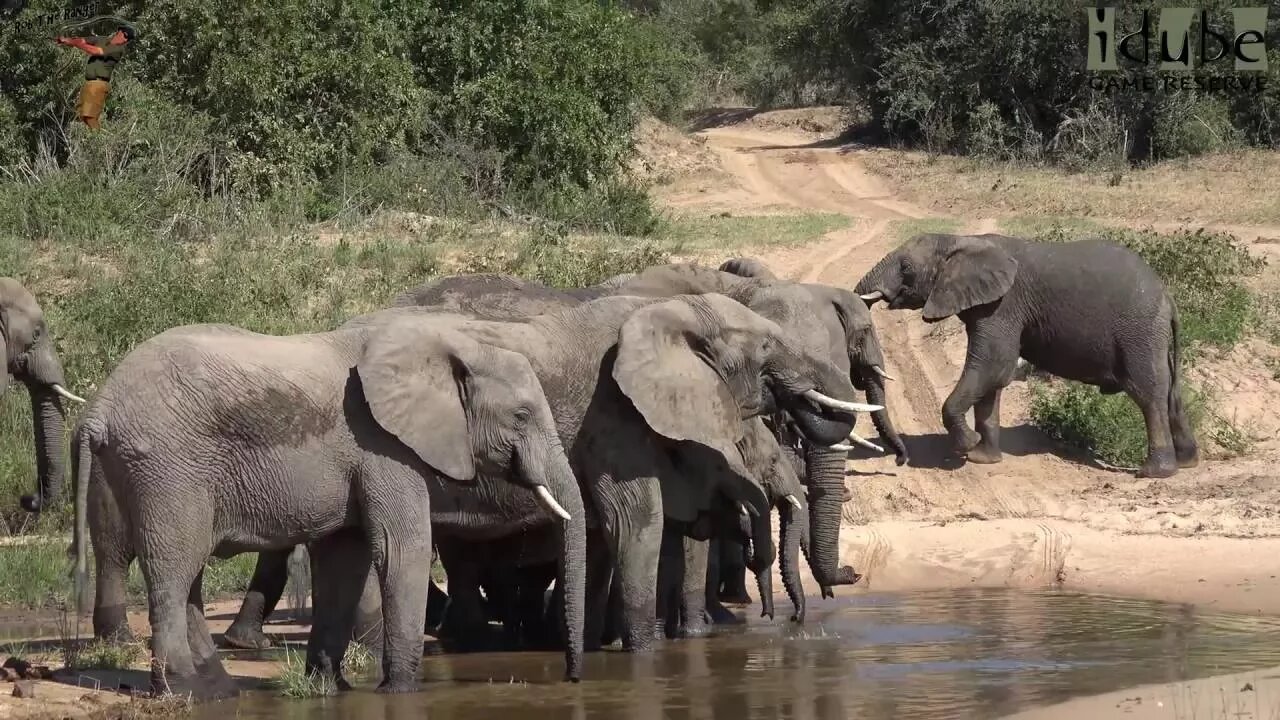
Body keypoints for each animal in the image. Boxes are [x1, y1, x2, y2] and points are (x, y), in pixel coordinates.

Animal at [71, 316, 586, 696]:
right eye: (522, 415)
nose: (571, 677)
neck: (452, 346)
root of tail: (99, 409)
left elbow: (345, 557)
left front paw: (329, 688)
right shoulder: (383, 447)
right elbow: (402, 550)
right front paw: (399, 692)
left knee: (186, 576)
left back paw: (218, 689)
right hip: (165, 468)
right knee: (174, 571)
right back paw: (184, 689)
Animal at [849, 230, 1198, 476]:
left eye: (906, 268)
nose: (899, 461)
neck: (959, 240)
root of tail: (1168, 297)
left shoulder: (1003, 306)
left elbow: (992, 365)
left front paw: (968, 447)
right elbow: (992, 378)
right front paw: (983, 458)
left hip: (1139, 331)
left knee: (1148, 394)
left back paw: (1154, 473)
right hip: (1153, 335)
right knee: (1172, 394)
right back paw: (1187, 462)